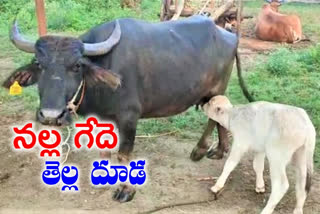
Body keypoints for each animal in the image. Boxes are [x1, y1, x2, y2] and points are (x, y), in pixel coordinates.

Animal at [2, 15, 252, 202]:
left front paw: (125, 190)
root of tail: (230, 36)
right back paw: (220, 150)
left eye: (76, 66)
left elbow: (124, 154)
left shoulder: (129, 117)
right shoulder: (101, 117)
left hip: (215, 88)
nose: (51, 116)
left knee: (213, 117)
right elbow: (103, 150)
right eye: (38, 64)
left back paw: (200, 150)